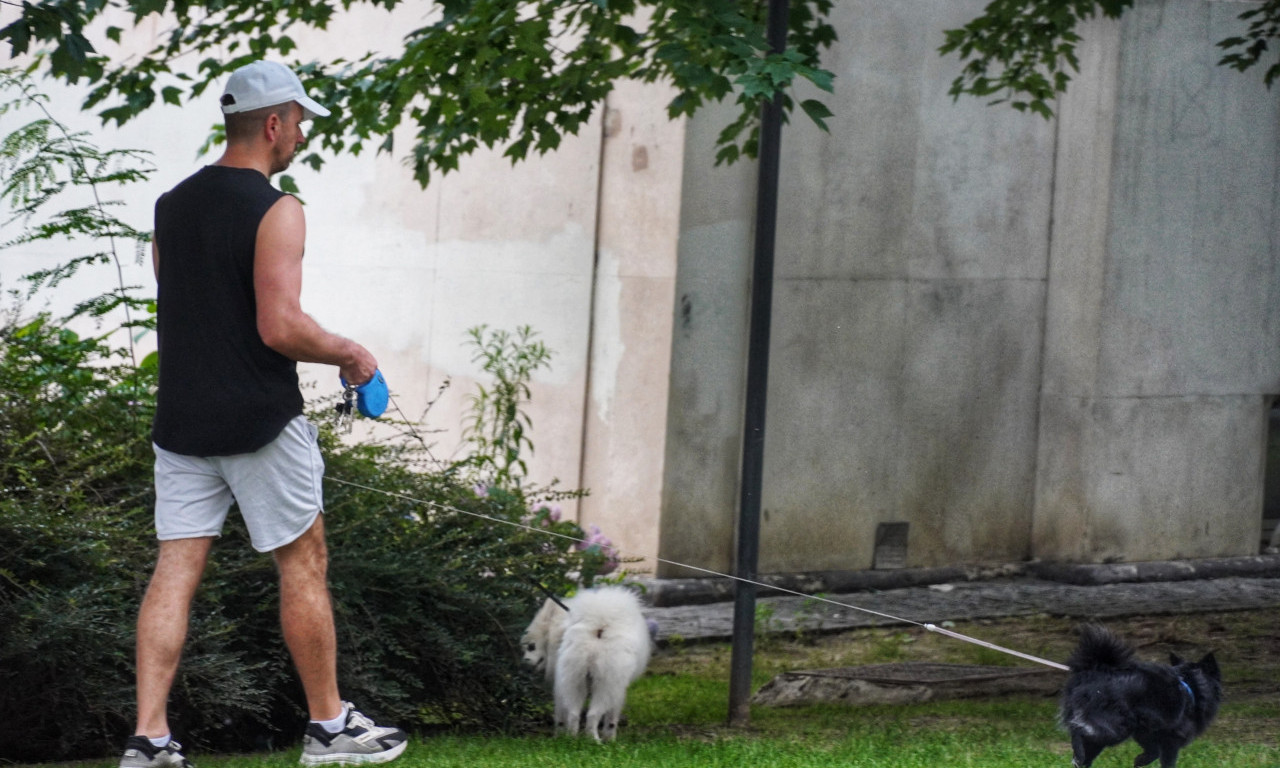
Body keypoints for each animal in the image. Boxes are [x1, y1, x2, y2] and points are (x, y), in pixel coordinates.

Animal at [519, 586, 655, 742]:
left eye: (531, 646)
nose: (524, 664)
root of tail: (598, 628)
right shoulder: (619, 690)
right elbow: (612, 719)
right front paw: (611, 739)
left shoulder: (560, 685)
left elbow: (560, 716)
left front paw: (559, 735)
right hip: (606, 684)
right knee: (592, 715)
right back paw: (594, 741)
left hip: (575, 680)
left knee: (574, 714)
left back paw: (571, 739)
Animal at [1054, 624, 1223, 768]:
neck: (1191, 686)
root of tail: (1093, 671)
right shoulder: (1170, 738)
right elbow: (1166, 760)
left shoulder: (1146, 732)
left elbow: (1153, 752)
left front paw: (1140, 761)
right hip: (1116, 727)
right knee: (1080, 732)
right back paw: (1078, 752)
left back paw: (1079, 759)